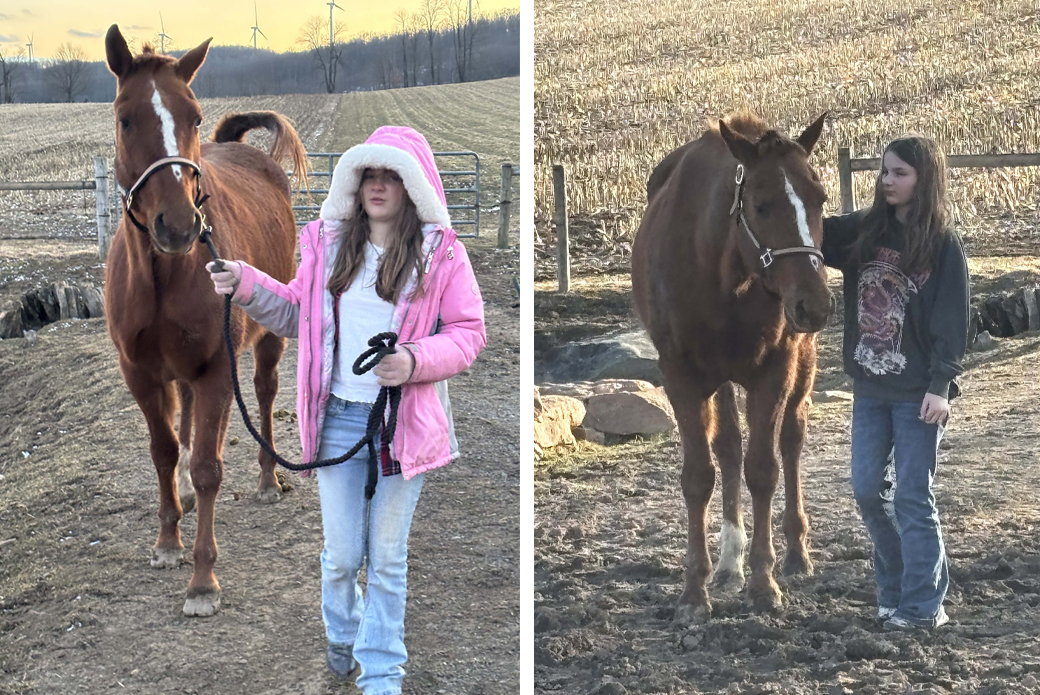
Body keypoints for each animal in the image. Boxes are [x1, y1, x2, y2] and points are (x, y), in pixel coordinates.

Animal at [102, 25, 308, 616]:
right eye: (127, 118)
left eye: (193, 117)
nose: (178, 226)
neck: (164, 274)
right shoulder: (141, 373)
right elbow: (166, 452)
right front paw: (168, 542)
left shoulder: (217, 366)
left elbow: (208, 467)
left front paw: (201, 579)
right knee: (191, 426)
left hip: (264, 345)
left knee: (262, 392)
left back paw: (267, 479)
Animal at [631, 113, 833, 623]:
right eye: (760, 206)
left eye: (819, 199)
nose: (815, 304)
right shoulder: (681, 376)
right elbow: (700, 475)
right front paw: (694, 590)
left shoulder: (774, 370)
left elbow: (764, 469)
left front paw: (764, 583)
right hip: (718, 379)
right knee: (727, 448)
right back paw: (727, 562)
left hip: (802, 363)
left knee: (792, 439)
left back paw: (796, 551)